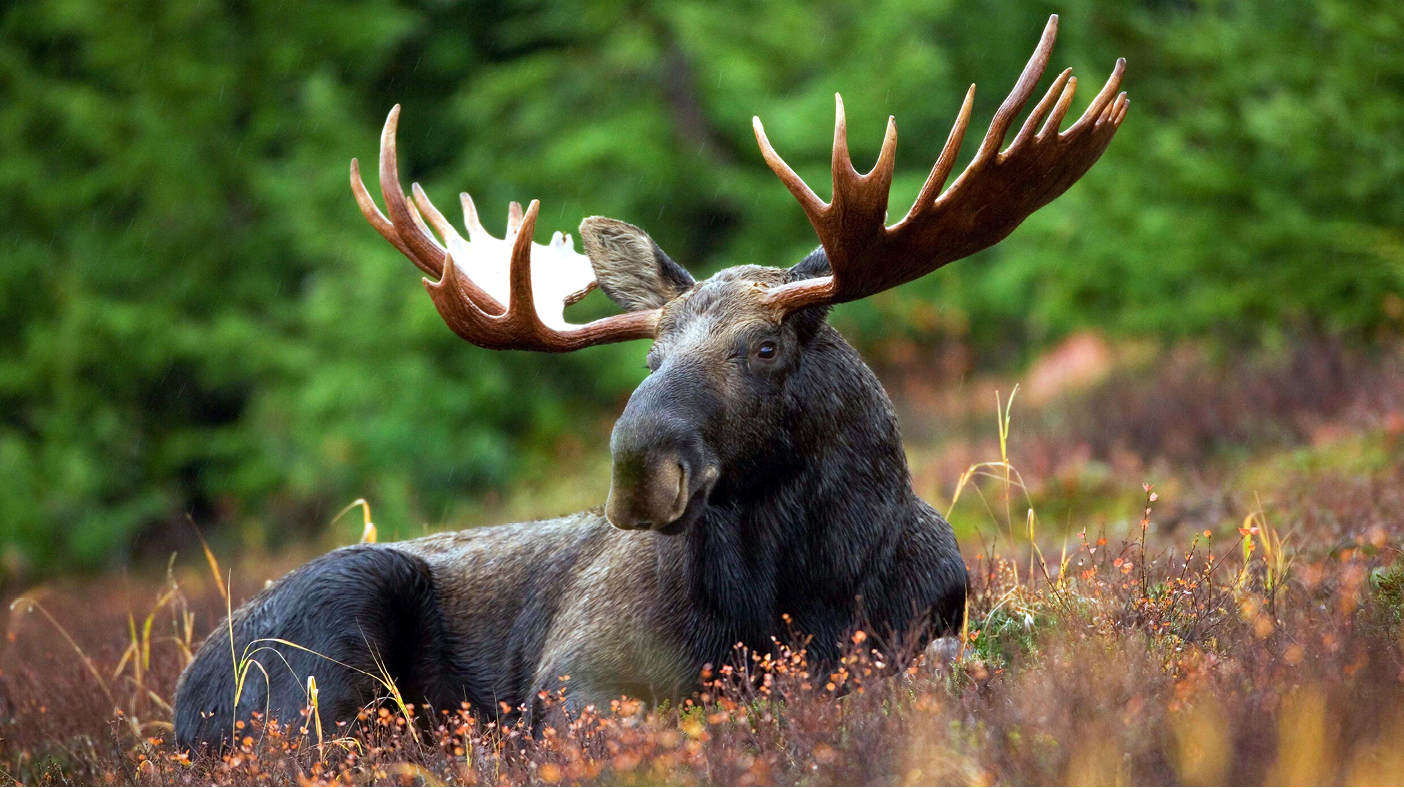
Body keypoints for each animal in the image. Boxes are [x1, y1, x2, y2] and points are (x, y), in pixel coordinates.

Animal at [172, 15, 1128, 747]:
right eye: (650, 358)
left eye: (765, 348)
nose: (639, 469)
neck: (803, 591)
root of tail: (182, 699)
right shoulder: (576, 678)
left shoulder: (928, 628)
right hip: (328, 635)